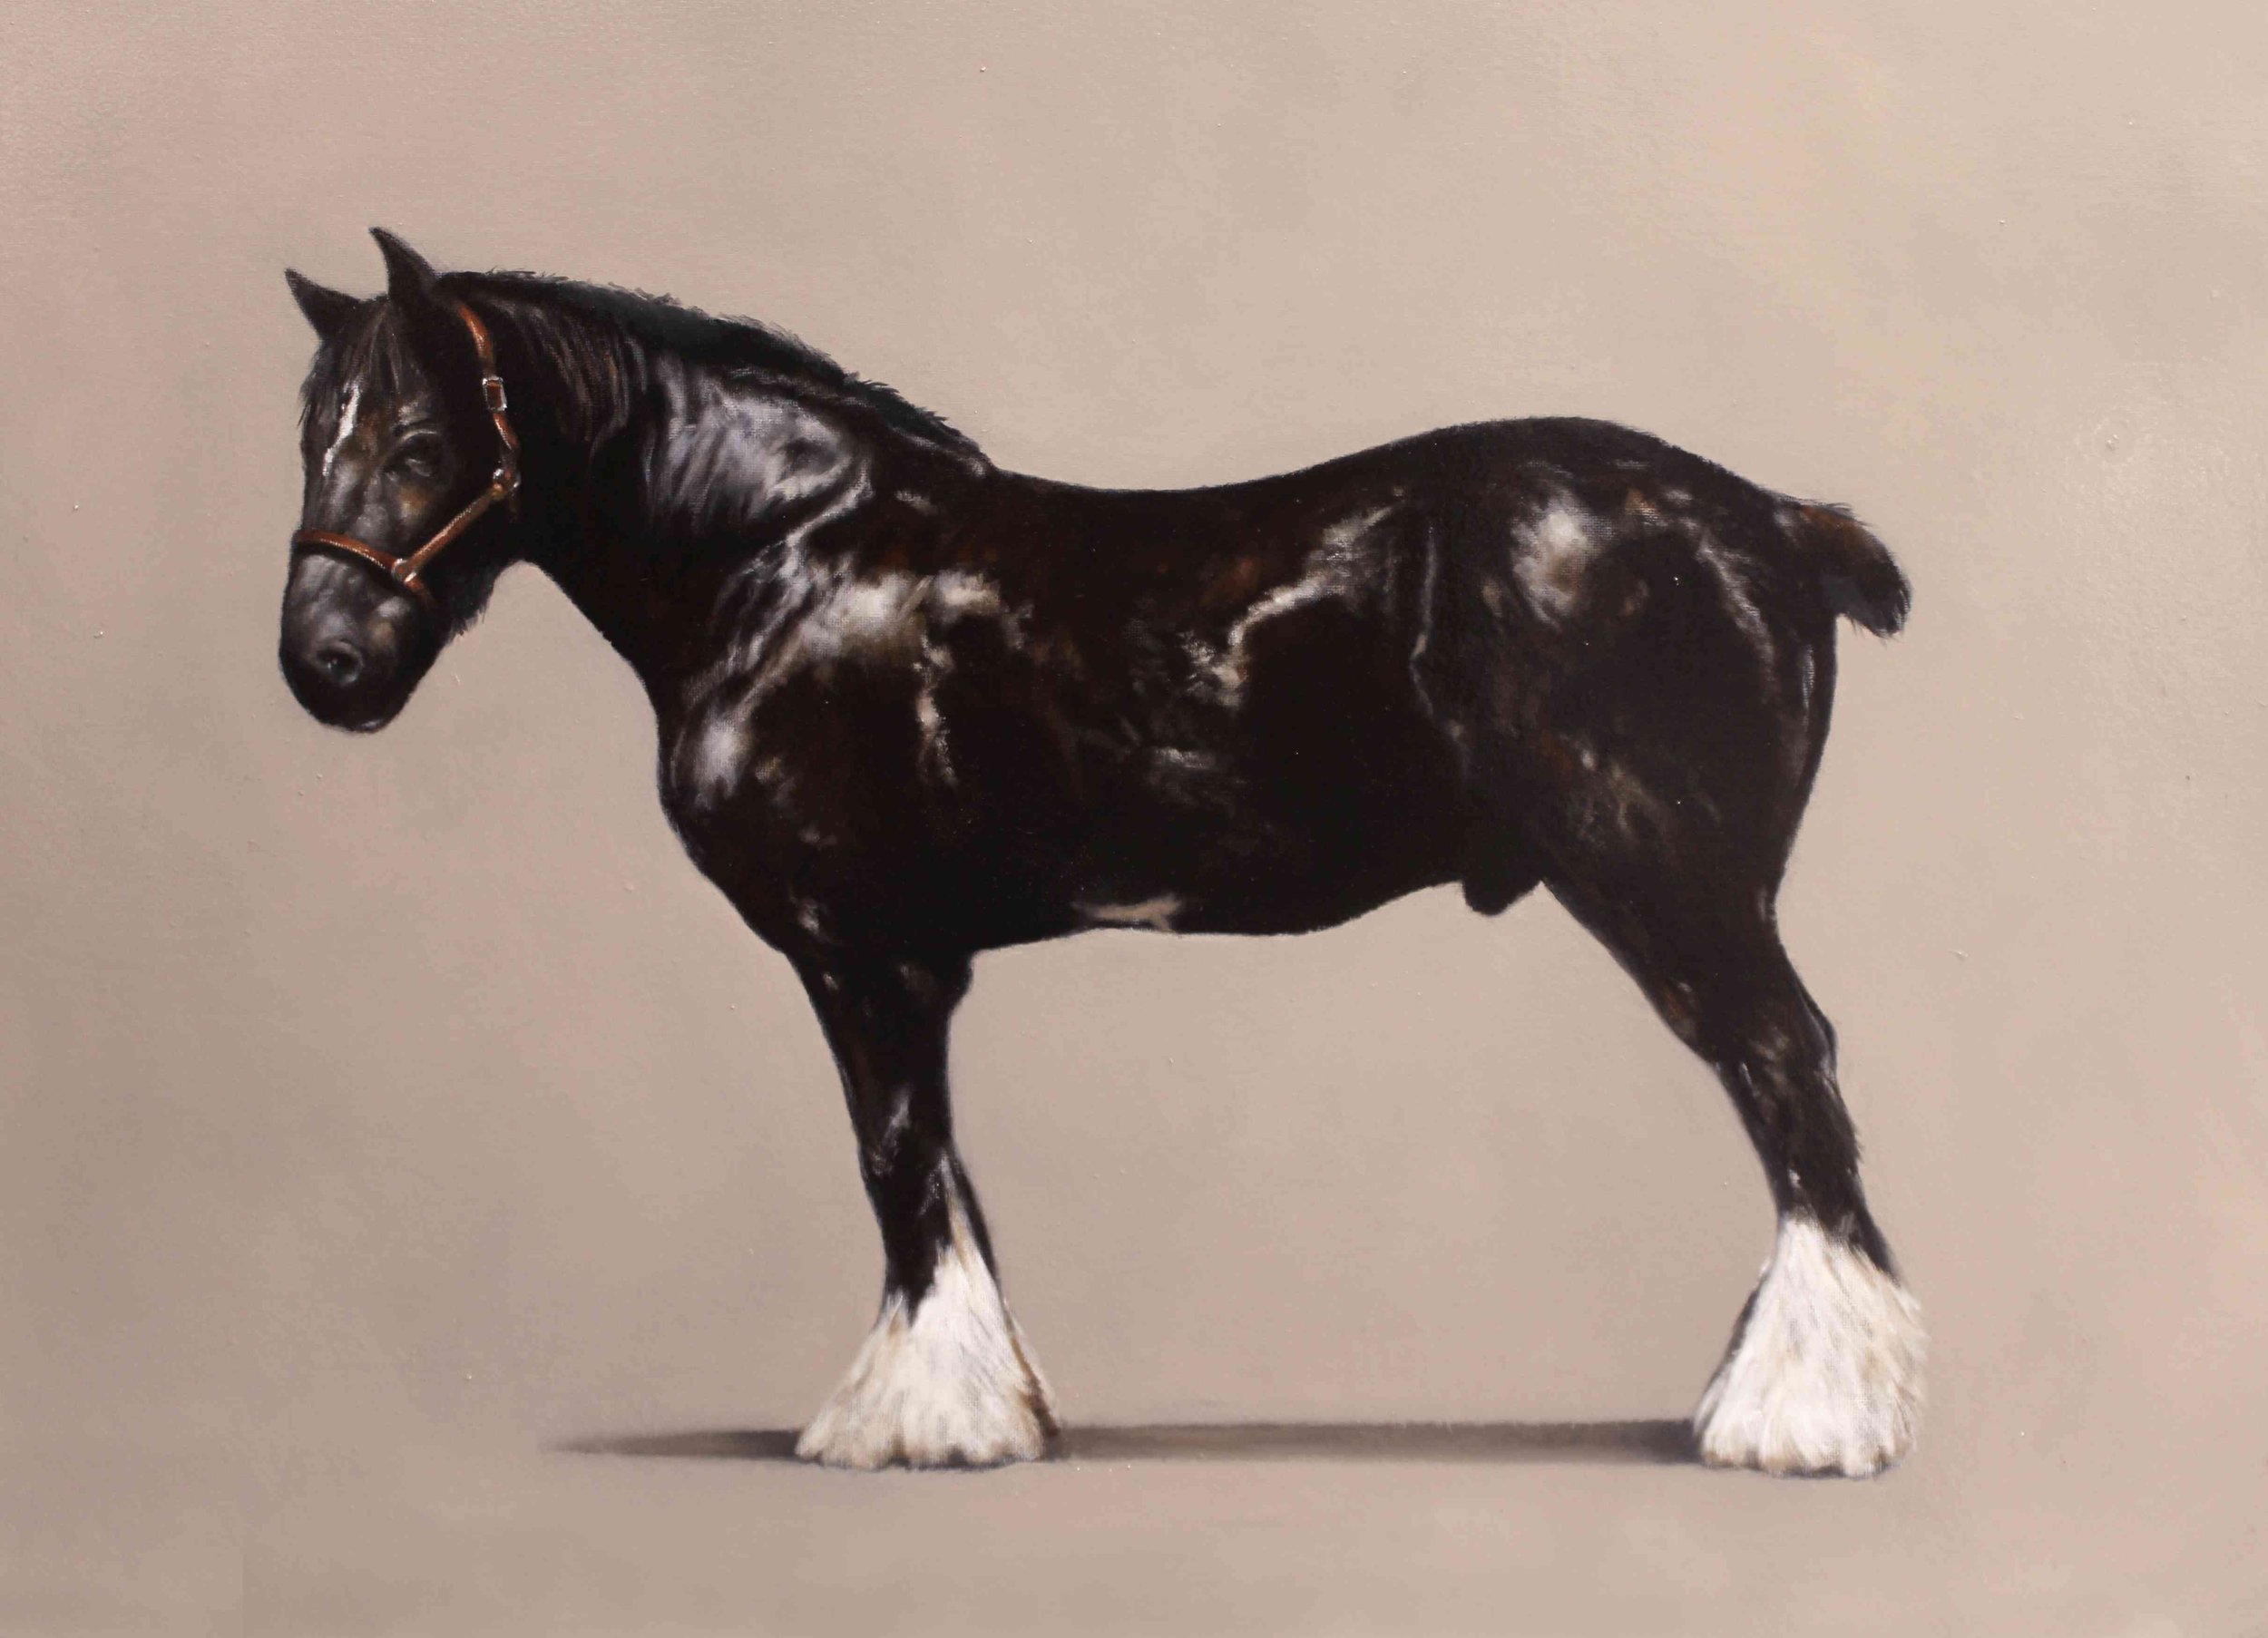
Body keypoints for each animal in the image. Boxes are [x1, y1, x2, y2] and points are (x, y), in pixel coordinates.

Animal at [277, 229, 1921, 1476]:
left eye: (421, 440)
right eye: (309, 434)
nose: (325, 663)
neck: (786, 561)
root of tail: (1776, 521)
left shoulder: (860, 953)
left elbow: (897, 1163)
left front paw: (912, 1422)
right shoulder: (915, 964)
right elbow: (943, 1177)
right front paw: (987, 1402)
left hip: (1671, 886)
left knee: (1793, 1081)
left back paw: (1806, 1417)